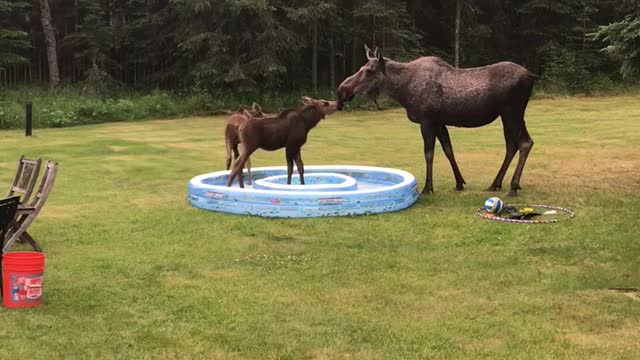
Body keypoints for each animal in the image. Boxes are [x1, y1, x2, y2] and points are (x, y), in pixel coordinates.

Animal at [338, 46, 536, 197]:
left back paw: (512, 186)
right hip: (509, 115)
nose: (342, 91)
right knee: (512, 145)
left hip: (512, 112)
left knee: (524, 143)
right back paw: (496, 183)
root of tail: (531, 77)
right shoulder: (440, 122)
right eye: (362, 67)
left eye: (369, 71)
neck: (402, 91)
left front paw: (428, 188)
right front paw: (459, 183)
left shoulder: (427, 120)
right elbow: (449, 151)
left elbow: (429, 154)